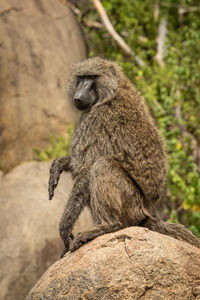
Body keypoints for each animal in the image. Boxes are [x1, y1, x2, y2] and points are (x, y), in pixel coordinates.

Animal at [48, 56, 200, 258]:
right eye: (81, 78)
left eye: (92, 77)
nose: (78, 97)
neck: (112, 91)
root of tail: (148, 214)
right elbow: (77, 165)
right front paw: (59, 164)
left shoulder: (94, 120)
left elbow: (85, 168)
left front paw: (64, 229)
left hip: (131, 204)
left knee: (102, 164)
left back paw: (108, 226)